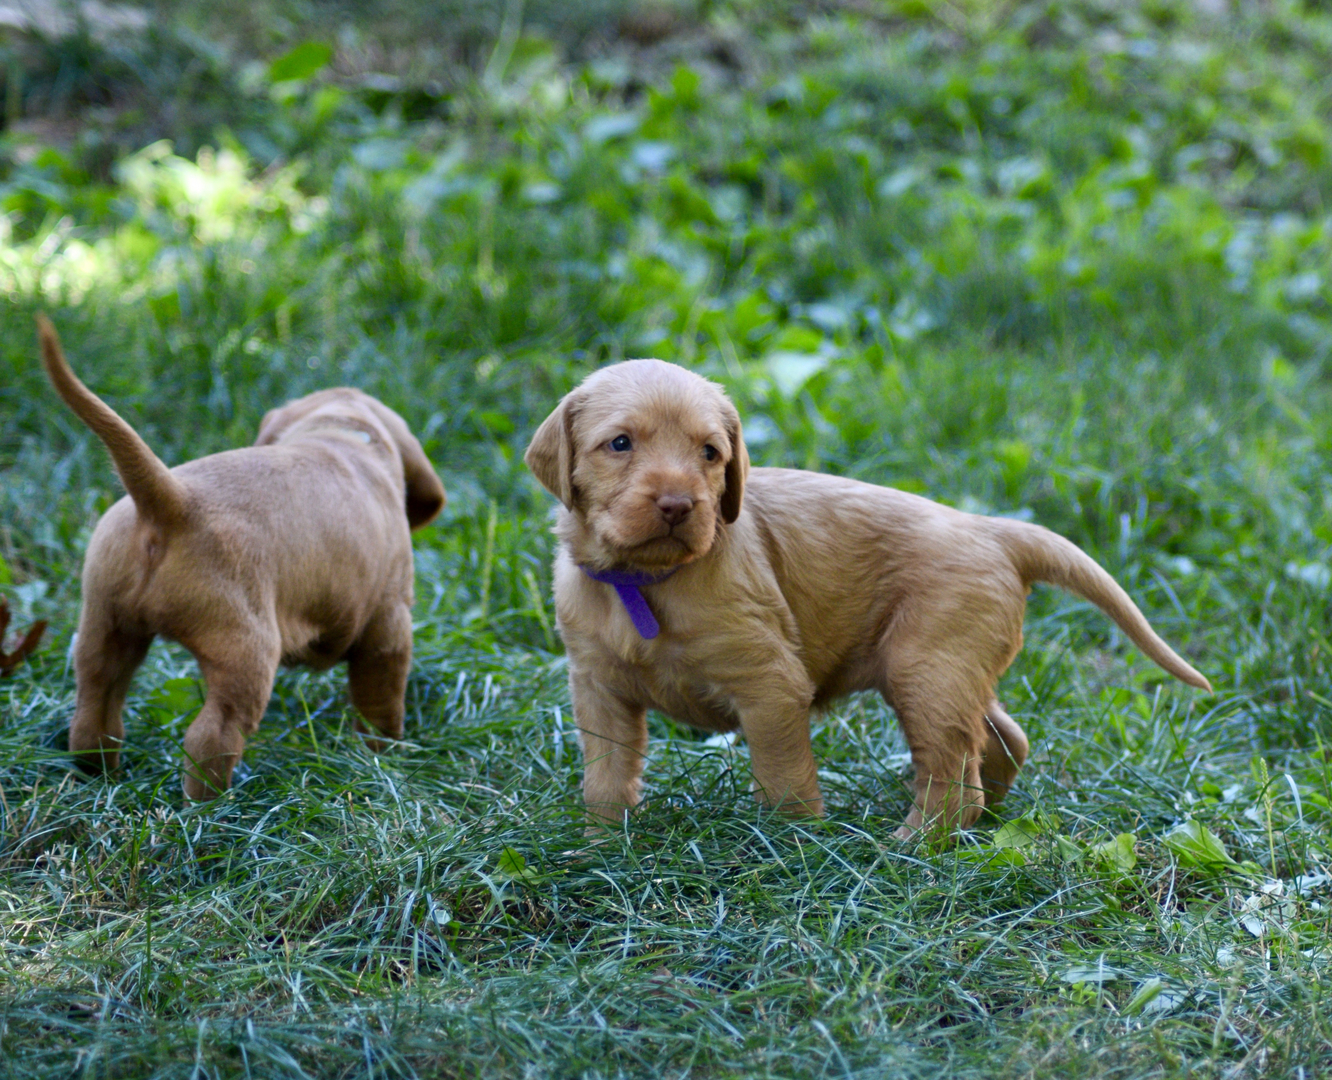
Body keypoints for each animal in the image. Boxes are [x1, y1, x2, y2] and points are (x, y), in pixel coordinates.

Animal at [38, 316, 447, 799]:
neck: (340, 433)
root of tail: (171, 500)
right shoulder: (389, 623)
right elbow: (382, 705)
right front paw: (385, 760)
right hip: (245, 650)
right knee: (212, 736)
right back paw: (216, 806)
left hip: (105, 624)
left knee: (95, 709)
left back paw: (98, 778)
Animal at [524, 359, 1214, 841]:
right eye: (620, 444)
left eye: (710, 452)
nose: (676, 505)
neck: (646, 581)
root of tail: (994, 529)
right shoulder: (598, 687)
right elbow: (605, 775)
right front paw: (601, 845)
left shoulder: (771, 686)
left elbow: (784, 776)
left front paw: (792, 847)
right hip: (952, 667)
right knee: (1001, 740)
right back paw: (986, 821)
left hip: (925, 667)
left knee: (951, 776)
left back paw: (909, 844)